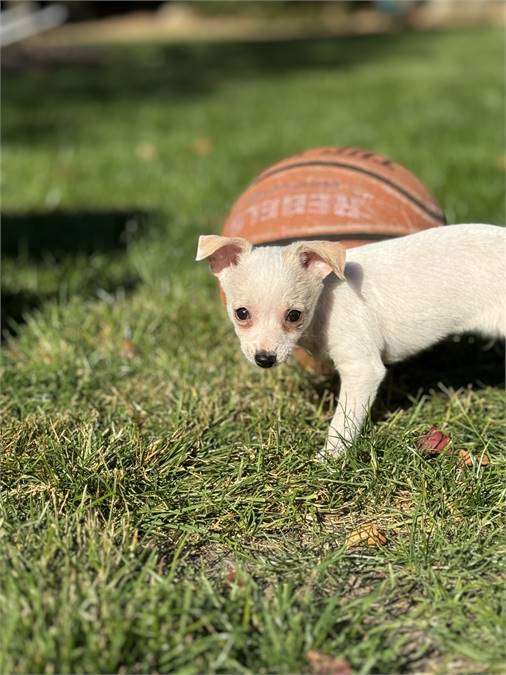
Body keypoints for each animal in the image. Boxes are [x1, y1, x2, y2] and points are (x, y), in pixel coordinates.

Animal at [198, 224, 506, 456]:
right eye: (241, 313)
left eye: (294, 315)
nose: (265, 359)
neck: (325, 298)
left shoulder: (362, 368)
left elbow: (343, 421)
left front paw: (329, 459)